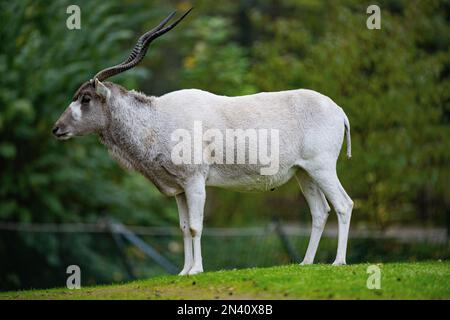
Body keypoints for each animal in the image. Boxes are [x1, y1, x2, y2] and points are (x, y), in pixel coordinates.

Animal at [52, 10, 354, 276]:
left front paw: (196, 269)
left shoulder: (195, 181)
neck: (156, 118)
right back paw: (306, 263)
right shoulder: (179, 189)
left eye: (86, 98)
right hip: (304, 173)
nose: (57, 129)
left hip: (322, 168)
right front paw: (184, 271)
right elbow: (184, 228)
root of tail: (339, 111)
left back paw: (338, 262)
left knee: (343, 204)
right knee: (320, 211)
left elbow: (196, 227)